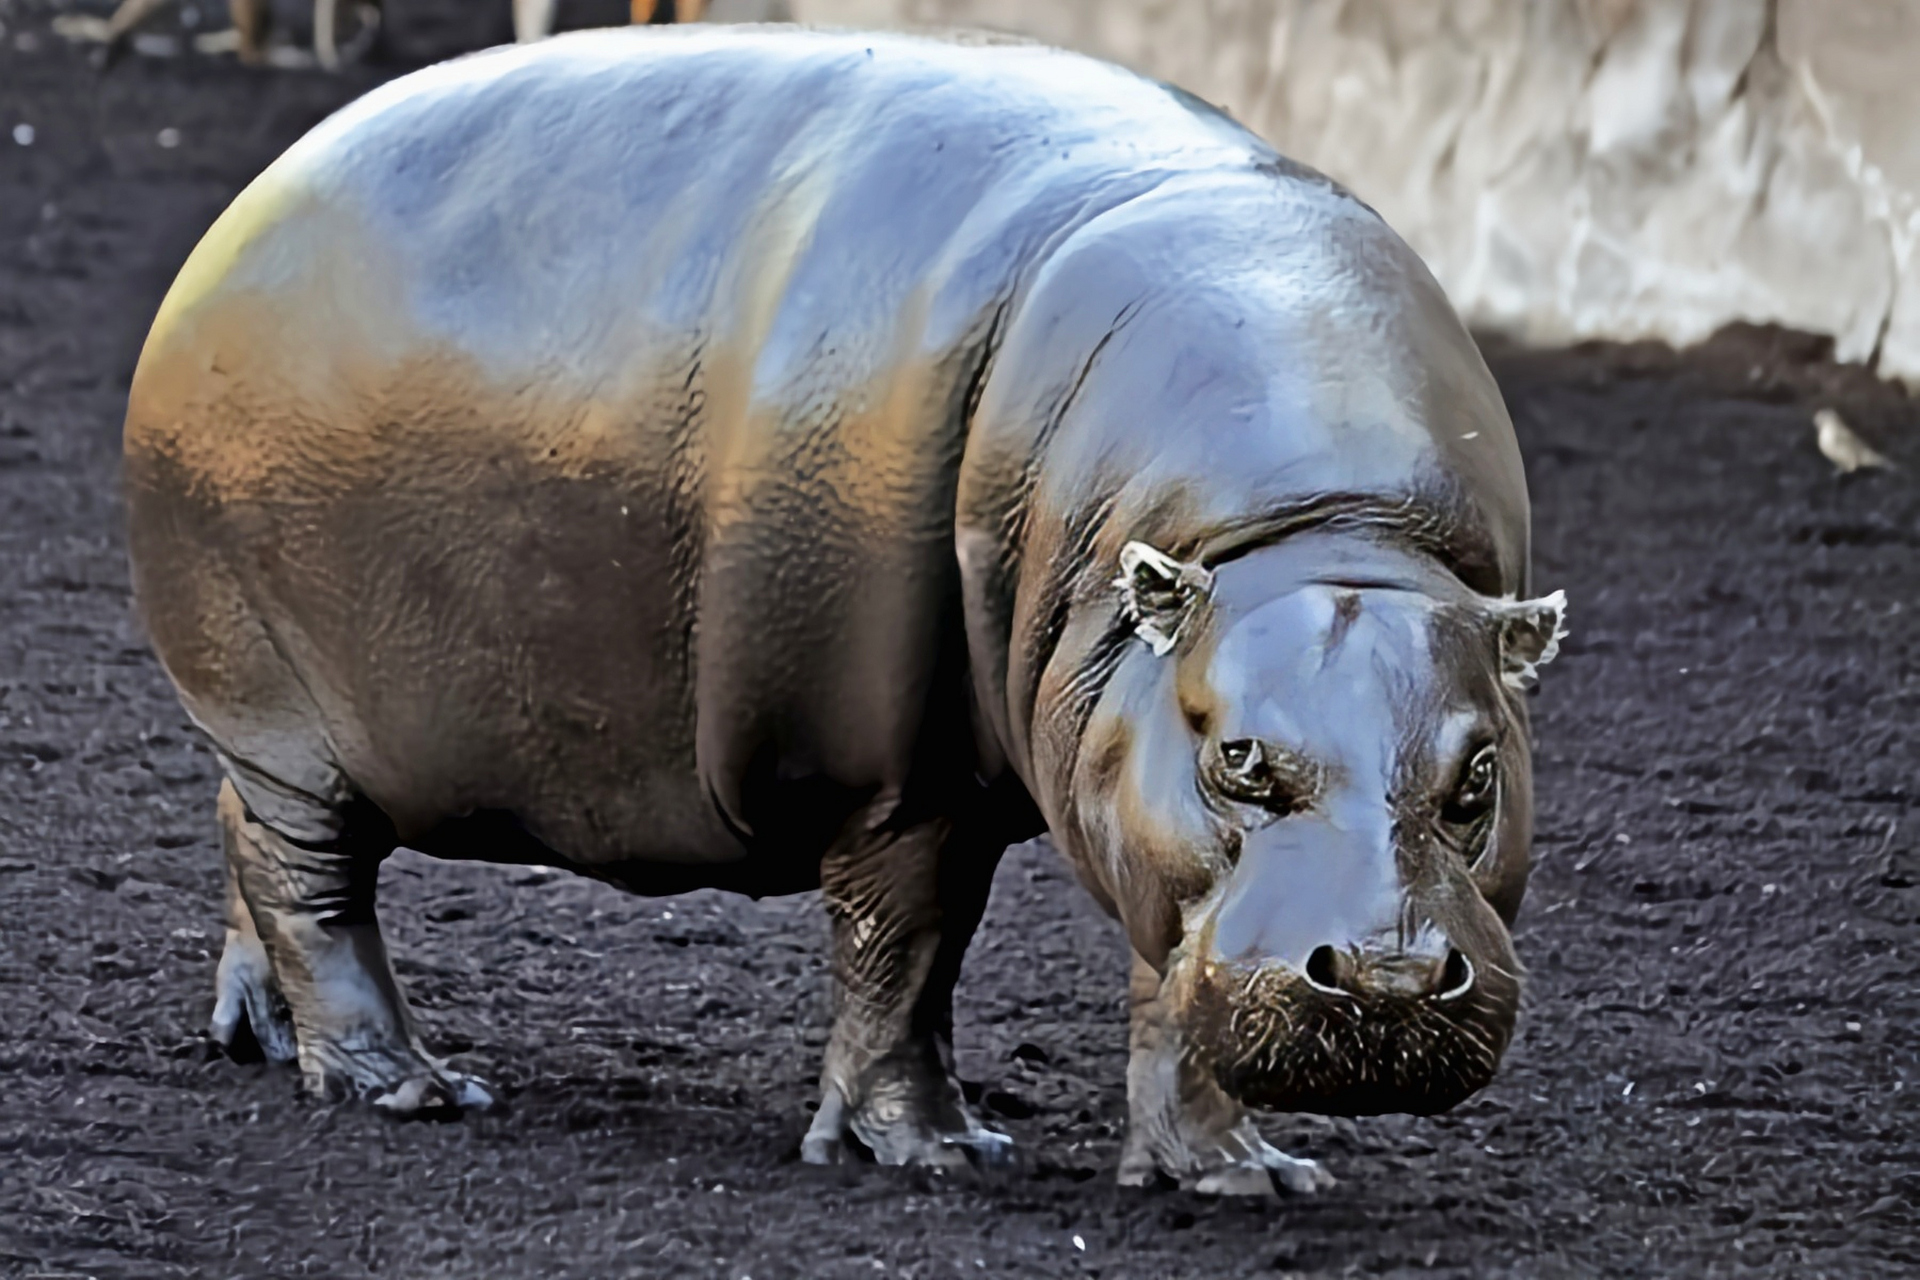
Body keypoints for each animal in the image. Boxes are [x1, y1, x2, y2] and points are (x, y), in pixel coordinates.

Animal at [116, 25, 1559, 1197]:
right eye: (1240, 756)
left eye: (1481, 774)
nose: (1384, 976)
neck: (1320, 534)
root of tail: (235, 220)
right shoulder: (900, 777)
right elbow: (903, 952)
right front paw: (930, 1153)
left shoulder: (1132, 796)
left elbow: (1172, 991)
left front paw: (1236, 1176)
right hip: (279, 702)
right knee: (310, 879)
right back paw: (404, 1085)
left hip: (288, 732)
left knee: (244, 832)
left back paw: (253, 1033)